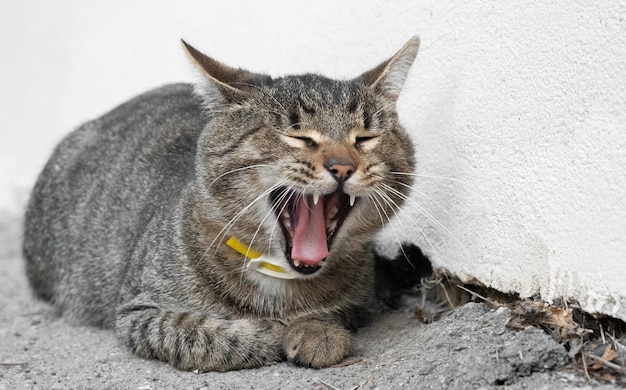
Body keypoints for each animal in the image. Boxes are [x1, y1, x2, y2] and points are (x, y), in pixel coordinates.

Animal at [20, 36, 420, 372]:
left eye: (366, 137)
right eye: (298, 136)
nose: (342, 166)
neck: (279, 281)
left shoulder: (360, 300)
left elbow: (334, 315)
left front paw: (316, 330)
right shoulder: (138, 310)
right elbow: (198, 333)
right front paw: (270, 333)